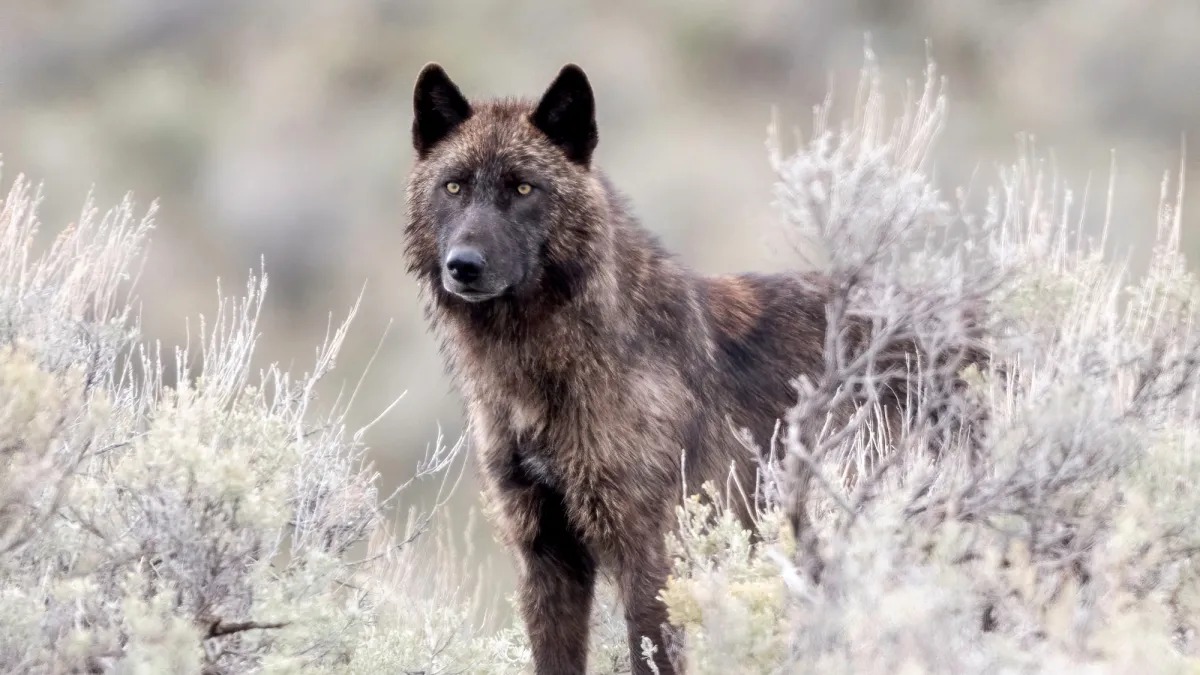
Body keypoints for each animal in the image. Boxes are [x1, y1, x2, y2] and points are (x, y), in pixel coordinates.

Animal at [403, 63, 950, 674]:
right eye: (454, 186)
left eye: (523, 188)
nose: (463, 266)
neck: (549, 372)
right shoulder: (545, 552)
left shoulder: (650, 553)